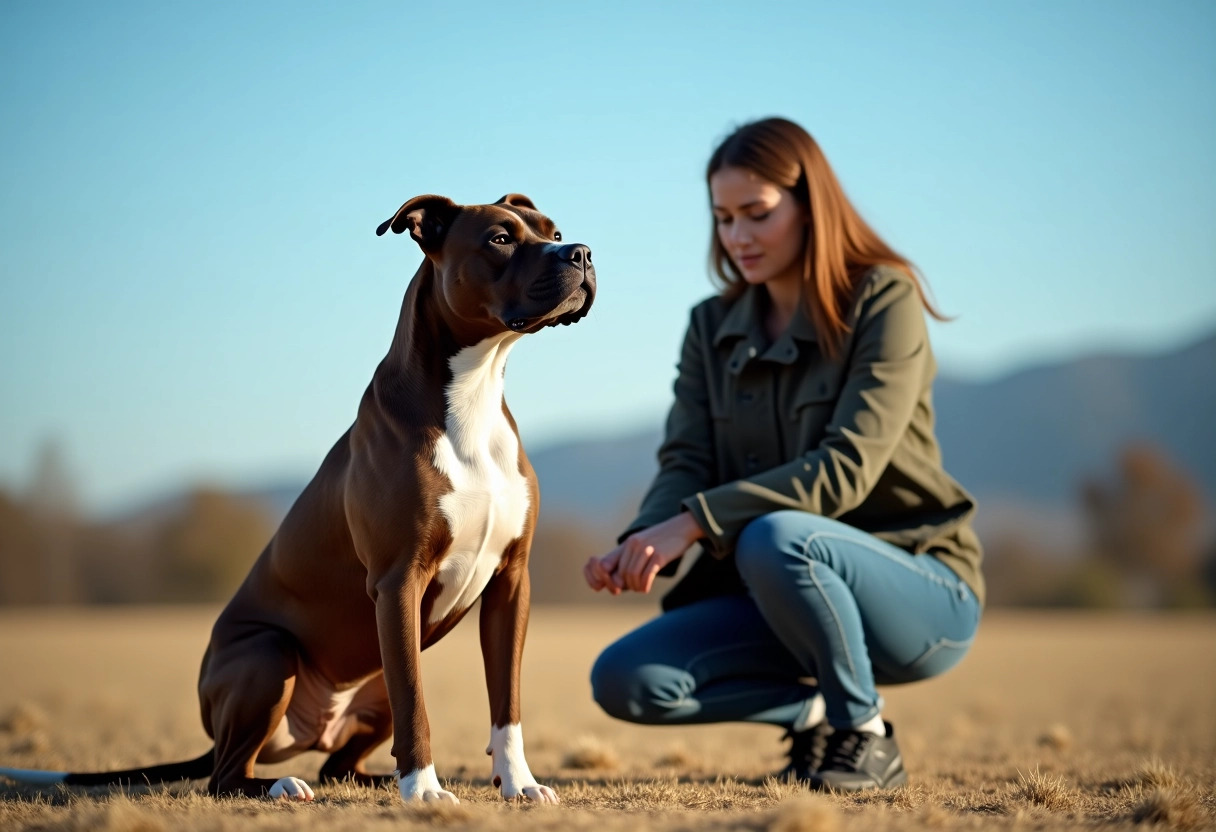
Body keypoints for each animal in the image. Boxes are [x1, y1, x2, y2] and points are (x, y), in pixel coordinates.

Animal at [0, 192, 598, 802]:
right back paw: (284, 785)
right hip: (269, 656)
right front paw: (424, 792)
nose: (581, 252)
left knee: (338, 764)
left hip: (373, 679)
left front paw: (519, 784)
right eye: (500, 238)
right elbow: (417, 705)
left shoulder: (511, 583)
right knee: (226, 775)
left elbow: (507, 704)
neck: (472, 393)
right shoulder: (399, 579)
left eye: (553, 232)